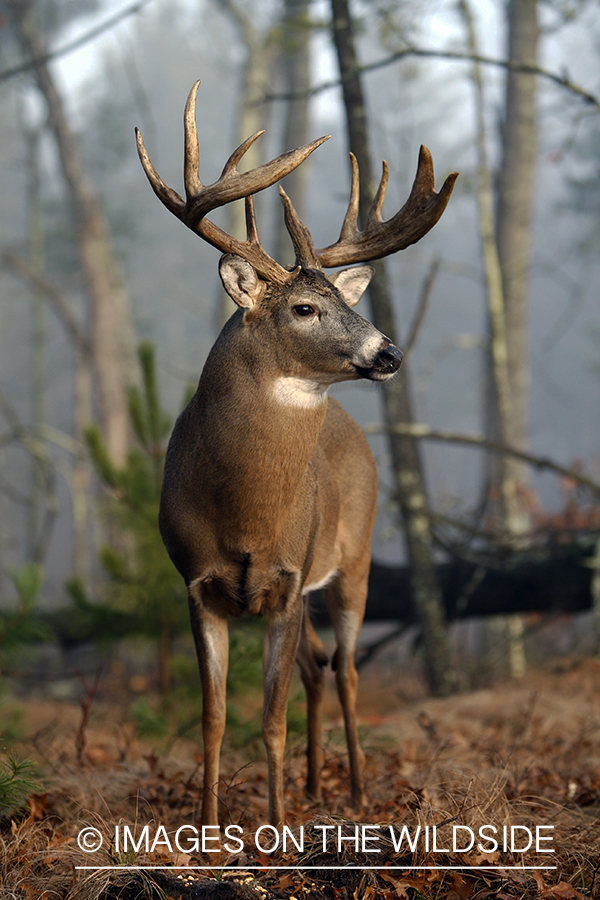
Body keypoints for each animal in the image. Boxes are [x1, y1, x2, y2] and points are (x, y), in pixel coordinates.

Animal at [135, 84, 454, 828]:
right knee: (316, 669)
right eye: (305, 308)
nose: (389, 352)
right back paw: (313, 787)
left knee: (348, 669)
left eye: (341, 300)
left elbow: (271, 718)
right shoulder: (197, 583)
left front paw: (277, 831)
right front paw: (210, 829)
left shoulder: (285, 581)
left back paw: (357, 792)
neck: (245, 515)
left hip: (351, 559)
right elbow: (214, 719)